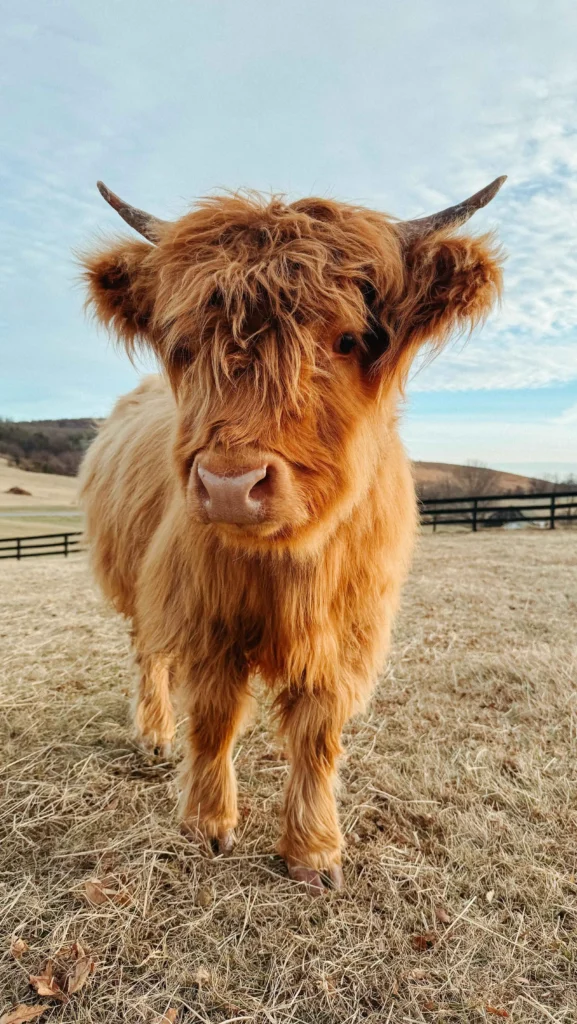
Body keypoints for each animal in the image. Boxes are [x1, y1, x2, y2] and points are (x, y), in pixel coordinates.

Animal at [79, 176, 505, 893]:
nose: (229, 485)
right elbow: (215, 719)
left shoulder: (345, 631)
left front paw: (313, 850)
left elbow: (316, 737)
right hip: (137, 586)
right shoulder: (204, 614)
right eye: (183, 344)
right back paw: (157, 734)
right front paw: (207, 823)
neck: (281, 563)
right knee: (149, 656)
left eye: (348, 339)